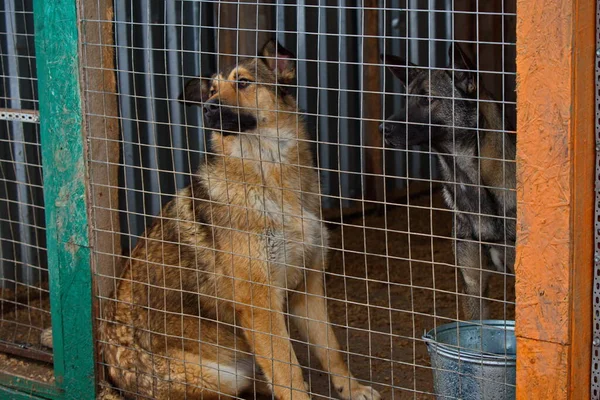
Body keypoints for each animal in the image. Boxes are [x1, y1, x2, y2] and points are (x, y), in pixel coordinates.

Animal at [98, 39, 380, 400]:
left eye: (243, 82)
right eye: (211, 91)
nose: (208, 109)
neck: (269, 175)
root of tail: (111, 374)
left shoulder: (308, 287)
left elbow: (330, 349)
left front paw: (351, 388)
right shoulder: (259, 305)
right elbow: (288, 371)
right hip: (219, 375)